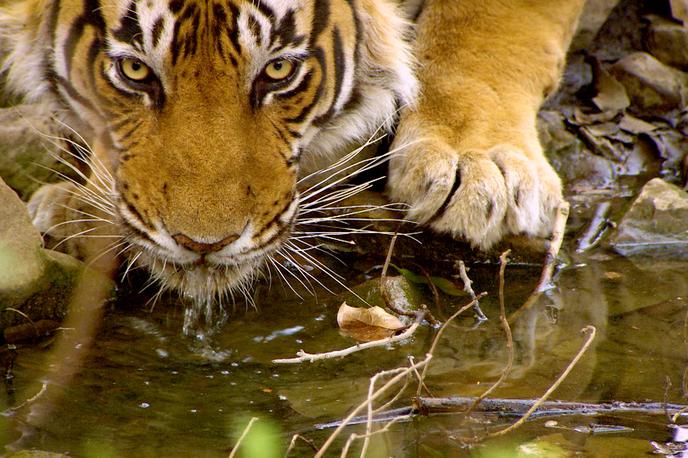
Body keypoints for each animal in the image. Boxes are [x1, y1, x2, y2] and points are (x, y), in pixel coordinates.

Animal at [0, 0, 584, 308]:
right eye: (134, 70)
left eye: (278, 71)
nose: (202, 244)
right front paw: (79, 210)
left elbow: (498, 22)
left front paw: (479, 167)